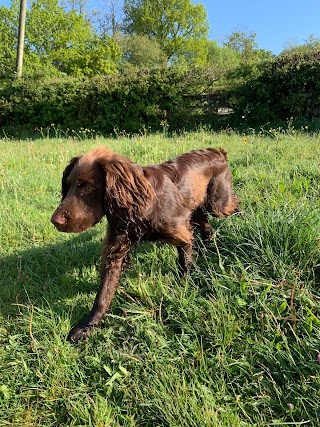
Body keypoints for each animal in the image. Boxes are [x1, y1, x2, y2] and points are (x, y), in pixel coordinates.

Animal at [52, 147, 238, 342]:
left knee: (234, 205)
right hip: (197, 208)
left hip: (217, 204)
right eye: (68, 185)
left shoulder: (181, 232)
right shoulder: (115, 250)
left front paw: (184, 286)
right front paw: (87, 327)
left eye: (87, 187)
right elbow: (103, 294)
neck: (139, 207)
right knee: (207, 226)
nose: (54, 221)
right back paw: (207, 248)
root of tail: (218, 152)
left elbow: (184, 263)